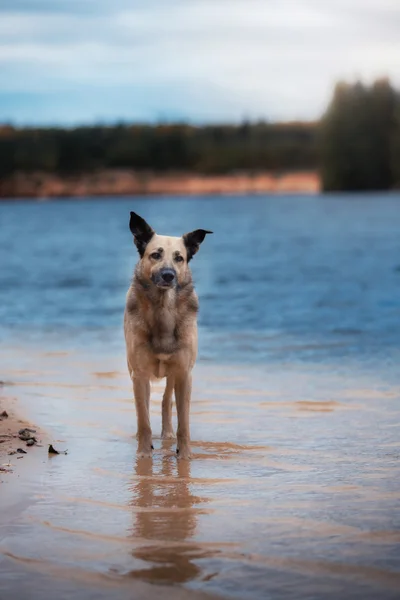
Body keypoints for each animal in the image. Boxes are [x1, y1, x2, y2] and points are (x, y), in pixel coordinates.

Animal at [124, 213, 212, 462]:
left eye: (179, 258)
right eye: (155, 254)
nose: (168, 275)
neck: (163, 309)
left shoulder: (184, 373)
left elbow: (184, 422)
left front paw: (185, 455)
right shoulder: (139, 374)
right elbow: (143, 419)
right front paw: (144, 455)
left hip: (173, 374)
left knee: (166, 400)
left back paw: (167, 434)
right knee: (143, 406)